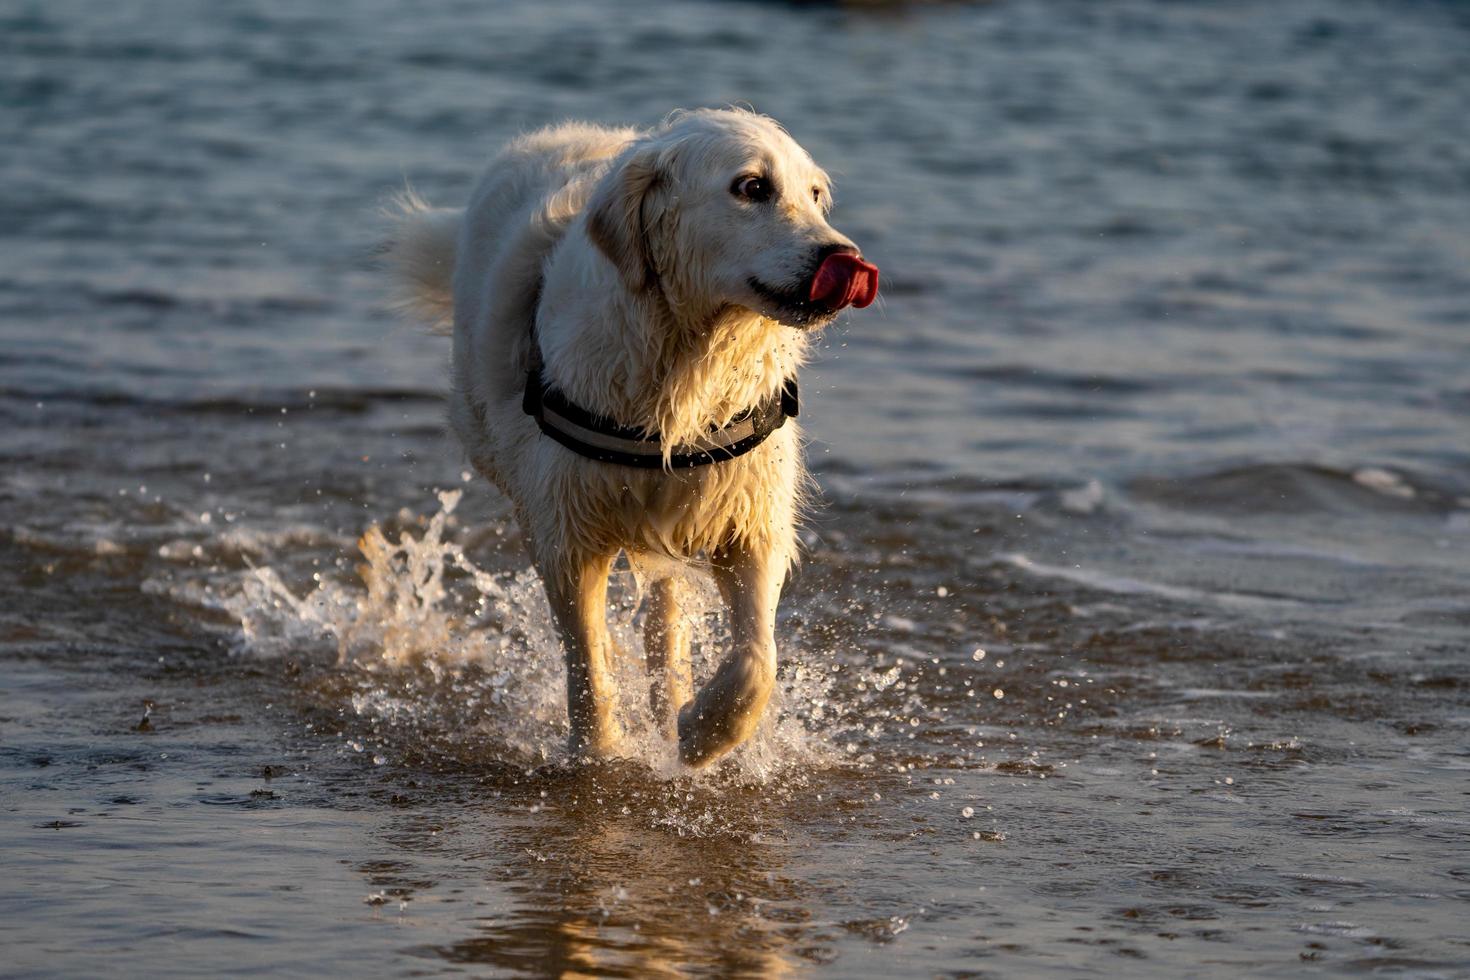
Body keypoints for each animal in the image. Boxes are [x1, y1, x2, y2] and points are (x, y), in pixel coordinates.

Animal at [385, 107, 876, 764]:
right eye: (752, 187)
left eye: (816, 194)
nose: (843, 255)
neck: (685, 358)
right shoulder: (569, 527)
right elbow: (587, 659)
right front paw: (600, 754)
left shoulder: (749, 513)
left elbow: (758, 657)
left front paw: (701, 736)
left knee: (667, 610)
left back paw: (672, 702)